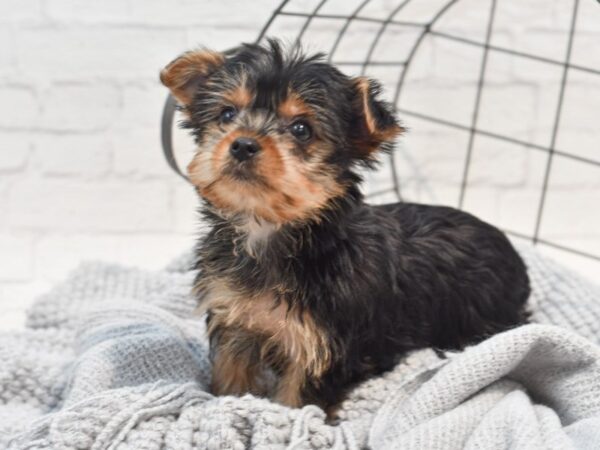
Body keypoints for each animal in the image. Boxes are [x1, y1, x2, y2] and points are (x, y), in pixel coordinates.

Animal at [159, 38, 528, 412]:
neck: (273, 229)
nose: (243, 144)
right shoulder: (236, 320)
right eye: (227, 114)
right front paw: (225, 403)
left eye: (302, 129)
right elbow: (231, 375)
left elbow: (298, 401)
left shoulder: (322, 343)